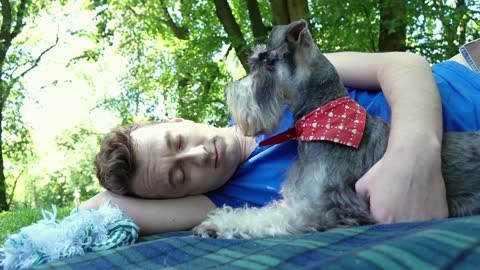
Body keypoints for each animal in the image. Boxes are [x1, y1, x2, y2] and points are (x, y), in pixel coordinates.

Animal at [193, 19, 480, 238]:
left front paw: (220, 224)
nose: (229, 92)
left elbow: (269, 219)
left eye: (267, 62)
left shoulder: (321, 207)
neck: (324, 121)